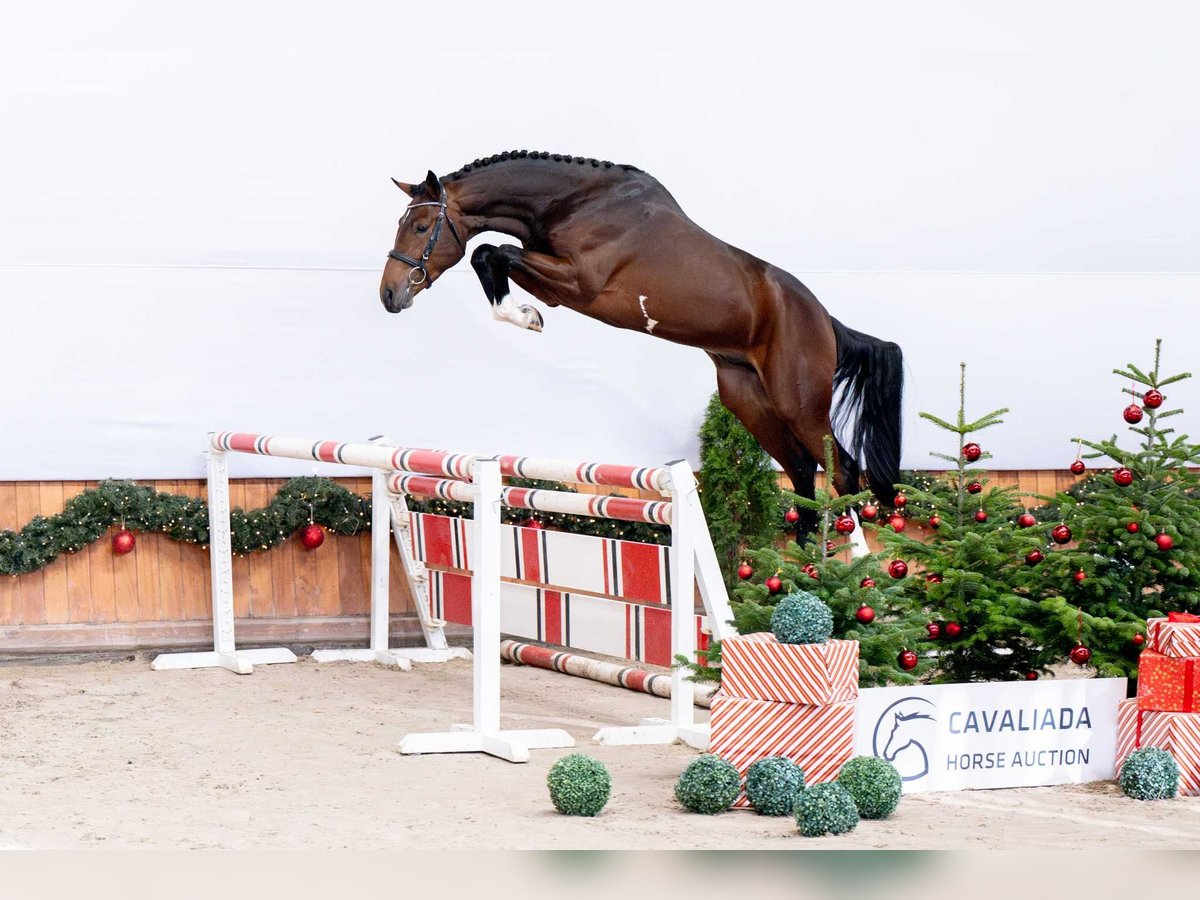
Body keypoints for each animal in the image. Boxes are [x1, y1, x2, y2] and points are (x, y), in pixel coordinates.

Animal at [378, 151, 903, 530]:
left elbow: (493, 251)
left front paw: (526, 318)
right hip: (748, 399)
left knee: (842, 469)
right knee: (800, 472)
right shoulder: (559, 287)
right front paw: (525, 315)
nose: (389, 295)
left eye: (421, 227)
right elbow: (490, 254)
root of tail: (824, 318)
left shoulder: (579, 283)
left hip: (799, 402)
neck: (575, 203)